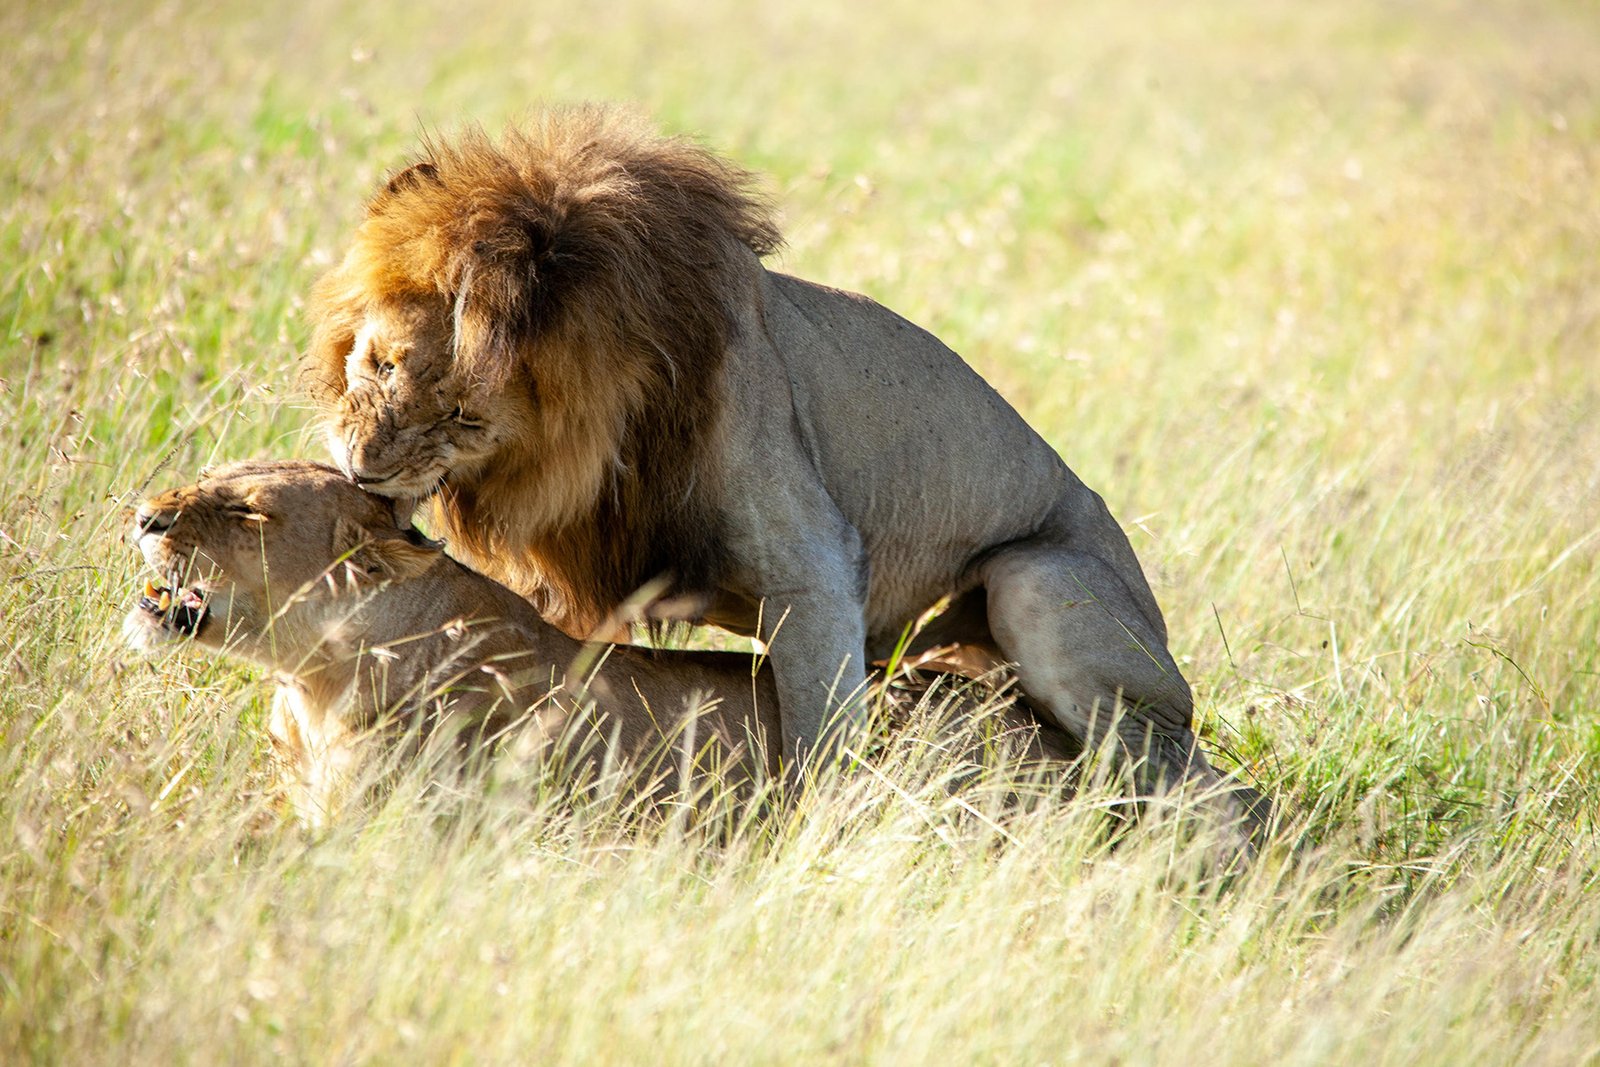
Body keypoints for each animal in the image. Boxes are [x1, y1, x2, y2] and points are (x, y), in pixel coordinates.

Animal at [300, 106, 1256, 836]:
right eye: (380, 364)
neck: (595, 451)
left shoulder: (815, 571)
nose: (363, 468)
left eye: (464, 415)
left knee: (1209, 787)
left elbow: (823, 743)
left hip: (1038, 579)